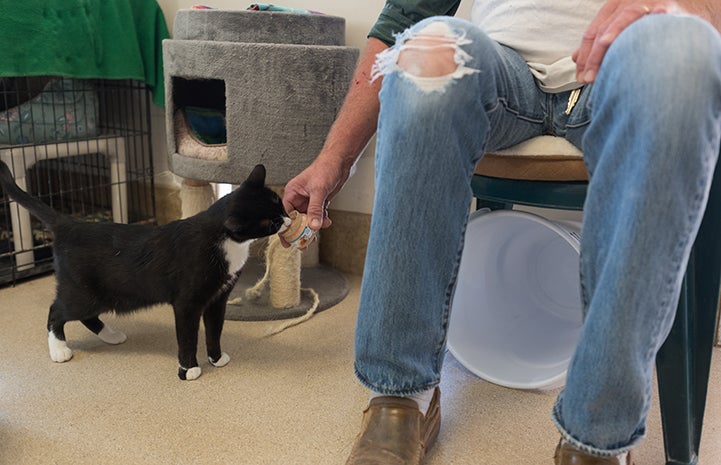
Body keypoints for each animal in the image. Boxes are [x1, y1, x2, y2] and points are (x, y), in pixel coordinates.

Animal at [0, 161, 286, 378]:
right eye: (268, 222)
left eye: (279, 203)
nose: (287, 219)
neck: (227, 244)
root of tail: (70, 224)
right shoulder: (187, 302)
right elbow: (187, 336)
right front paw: (188, 369)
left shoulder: (218, 298)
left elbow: (214, 329)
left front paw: (216, 358)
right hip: (82, 292)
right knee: (57, 311)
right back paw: (59, 350)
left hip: (102, 294)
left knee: (87, 316)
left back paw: (111, 335)